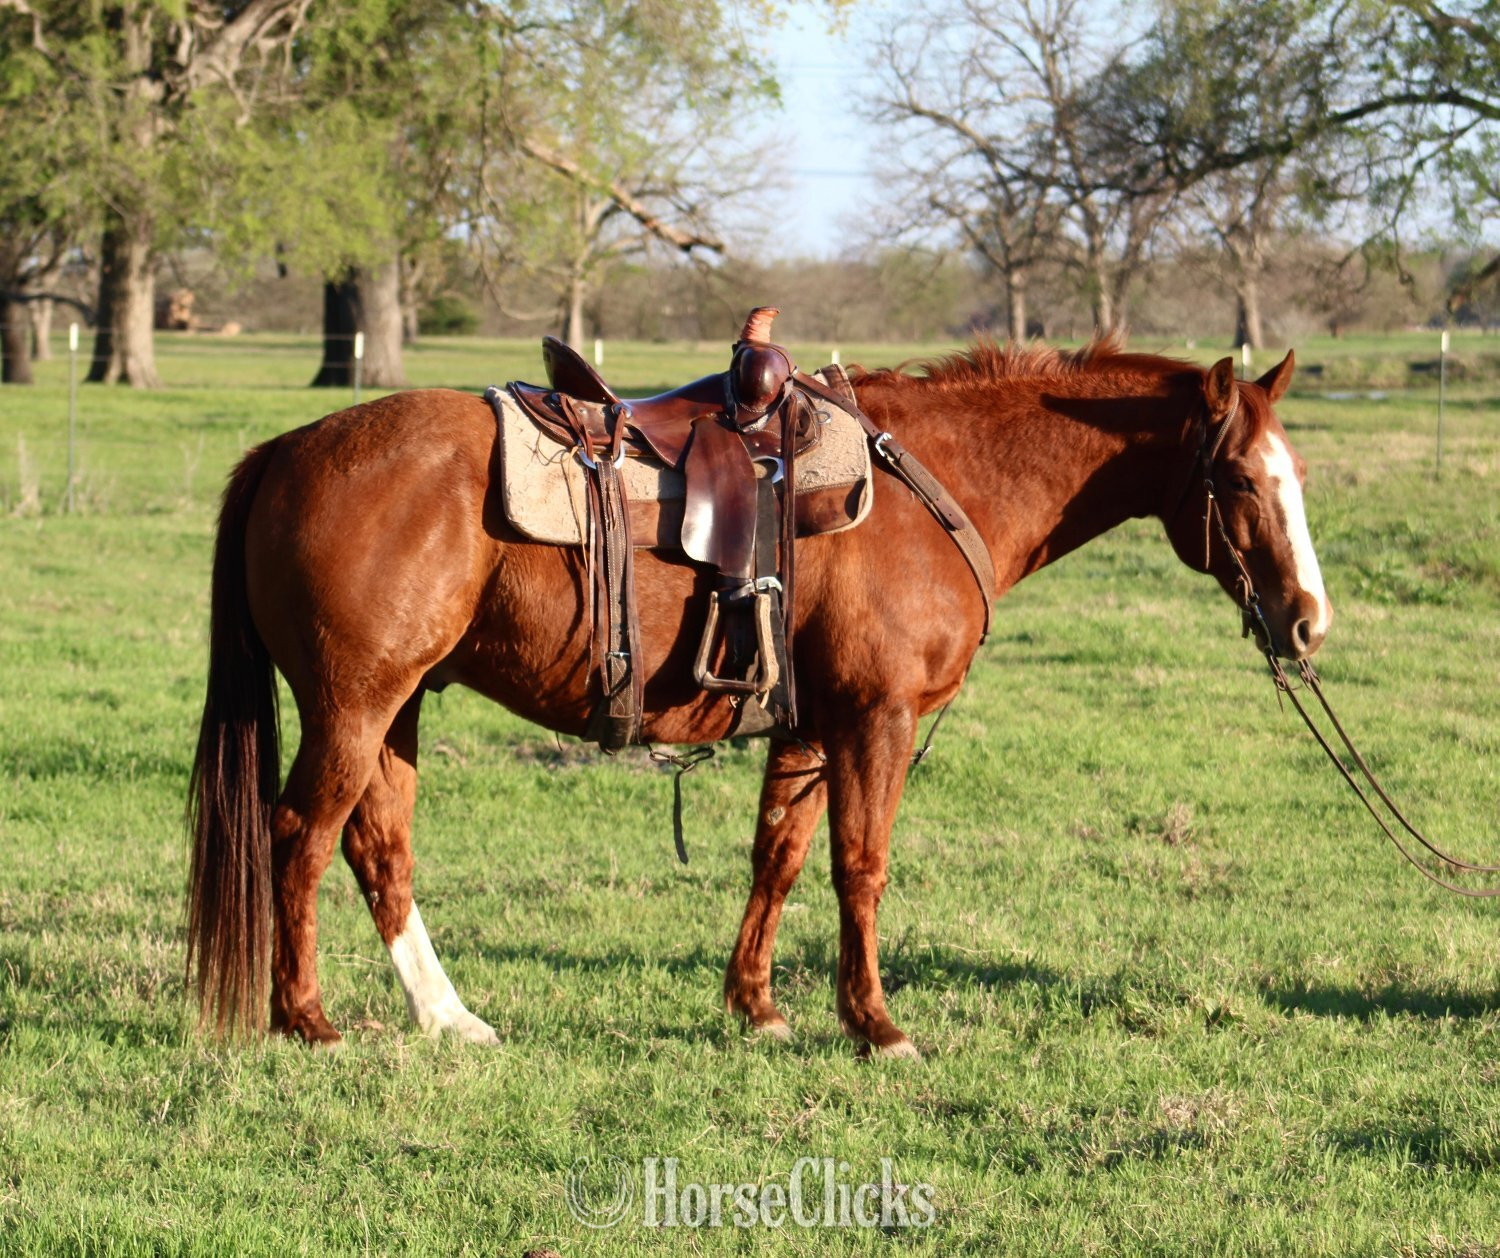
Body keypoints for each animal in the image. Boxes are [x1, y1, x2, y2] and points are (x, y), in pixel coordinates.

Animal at [187, 332, 1331, 1058]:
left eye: (1296, 474)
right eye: (1240, 480)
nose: (1309, 621)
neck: (930, 484)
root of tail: (287, 450)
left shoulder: (812, 728)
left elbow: (777, 857)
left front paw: (757, 1006)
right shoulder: (876, 721)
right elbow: (860, 868)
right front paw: (876, 1025)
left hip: (399, 708)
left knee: (378, 846)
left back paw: (446, 1017)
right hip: (353, 705)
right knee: (299, 835)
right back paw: (308, 1019)